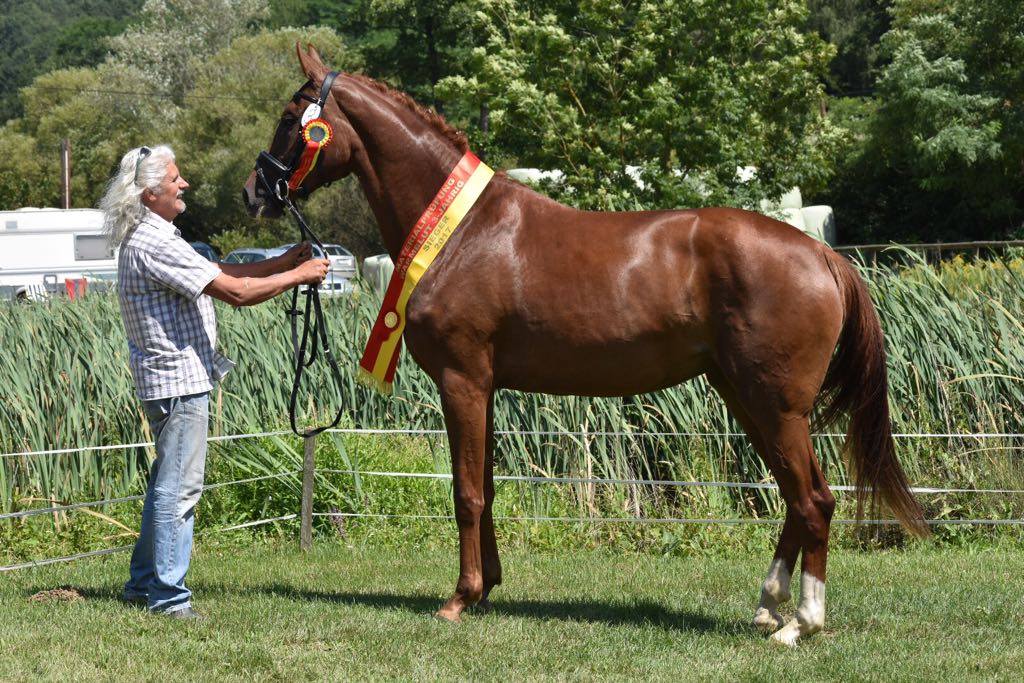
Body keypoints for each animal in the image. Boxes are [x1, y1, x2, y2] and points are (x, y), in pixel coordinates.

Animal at [241, 44, 929, 647]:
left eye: (291, 118)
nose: (254, 193)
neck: (462, 232)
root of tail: (822, 255)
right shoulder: (486, 388)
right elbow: (487, 487)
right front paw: (488, 588)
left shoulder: (463, 381)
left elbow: (465, 491)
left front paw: (460, 598)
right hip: (746, 398)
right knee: (794, 497)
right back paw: (769, 606)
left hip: (777, 405)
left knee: (814, 499)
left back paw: (800, 624)